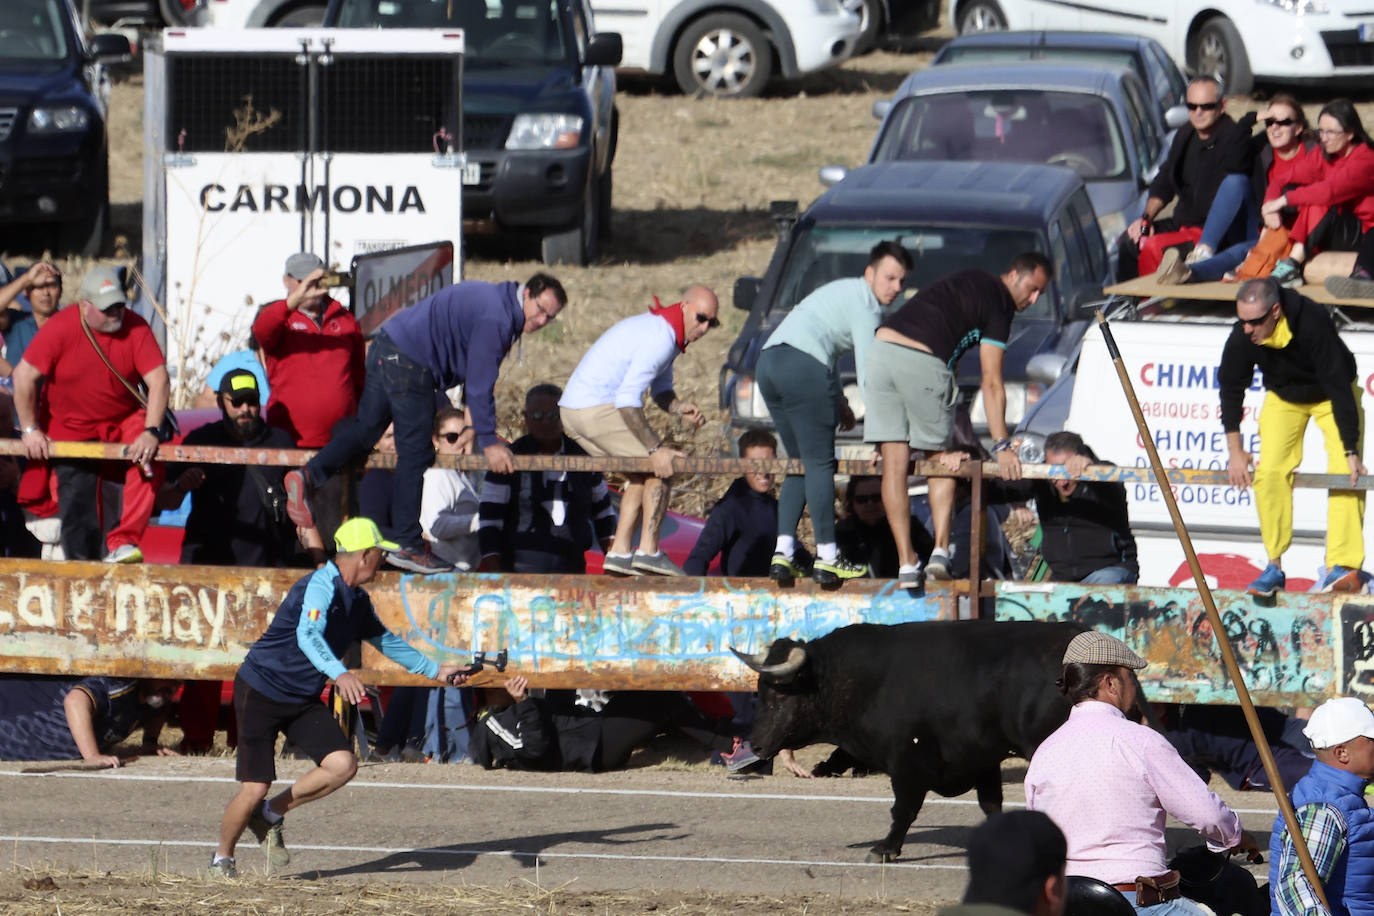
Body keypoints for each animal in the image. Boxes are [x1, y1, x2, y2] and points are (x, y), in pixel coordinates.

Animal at [736, 620, 1088, 862]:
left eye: (779, 695)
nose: (755, 745)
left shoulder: (908, 762)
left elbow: (903, 809)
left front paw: (885, 849)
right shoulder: (984, 759)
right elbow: (991, 804)